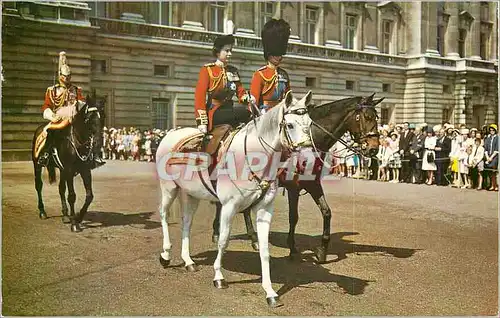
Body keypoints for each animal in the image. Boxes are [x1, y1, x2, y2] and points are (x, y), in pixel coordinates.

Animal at [32, 95, 104, 232]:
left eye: (102, 116)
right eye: (89, 118)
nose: (98, 143)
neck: (78, 141)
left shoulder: (85, 170)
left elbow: (89, 195)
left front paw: (78, 217)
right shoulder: (69, 170)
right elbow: (72, 195)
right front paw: (74, 223)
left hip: (62, 170)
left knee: (61, 188)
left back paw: (65, 215)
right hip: (37, 165)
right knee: (39, 186)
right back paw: (42, 211)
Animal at [154, 90, 314, 308]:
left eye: (310, 123)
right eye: (289, 125)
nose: (308, 160)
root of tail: (171, 133)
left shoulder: (264, 210)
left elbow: (265, 250)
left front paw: (270, 292)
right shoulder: (229, 207)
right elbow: (223, 241)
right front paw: (219, 277)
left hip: (191, 194)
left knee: (186, 222)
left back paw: (188, 261)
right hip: (169, 188)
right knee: (163, 215)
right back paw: (165, 254)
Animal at [212, 93, 382, 262]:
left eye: (377, 117)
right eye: (367, 117)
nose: (374, 149)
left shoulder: (313, 184)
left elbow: (326, 212)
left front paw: (322, 250)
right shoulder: (293, 187)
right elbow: (293, 217)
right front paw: (293, 249)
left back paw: (251, 238)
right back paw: (222, 233)